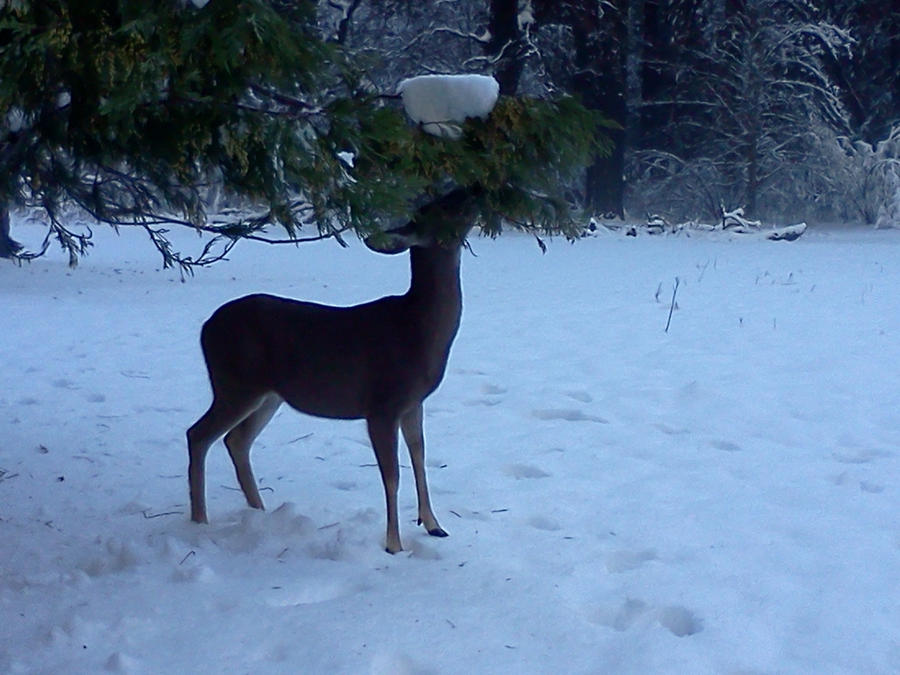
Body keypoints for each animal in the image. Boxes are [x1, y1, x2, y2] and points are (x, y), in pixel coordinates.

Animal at [187, 186, 482, 556]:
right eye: (442, 208)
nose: (474, 190)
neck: (416, 332)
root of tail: (204, 328)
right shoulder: (381, 404)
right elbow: (392, 475)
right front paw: (394, 545)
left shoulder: (413, 402)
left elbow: (419, 456)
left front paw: (434, 525)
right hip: (234, 383)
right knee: (198, 435)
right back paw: (199, 520)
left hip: (268, 395)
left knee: (236, 440)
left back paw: (258, 512)